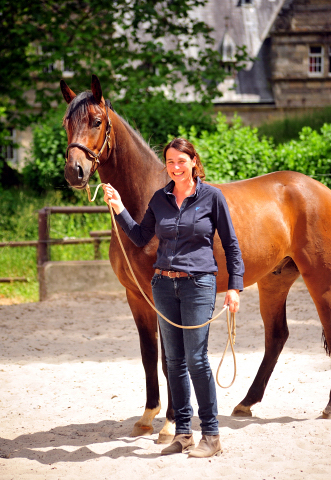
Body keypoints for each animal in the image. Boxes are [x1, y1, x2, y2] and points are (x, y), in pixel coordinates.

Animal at [60, 74, 331, 442]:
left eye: (97, 121)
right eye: (66, 123)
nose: (75, 171)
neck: (147, 203)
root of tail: (318, 189)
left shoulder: (160, 296)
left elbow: (169, 358)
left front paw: (171, 422)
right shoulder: (136, 297)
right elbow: (148, 355)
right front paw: (148, 415)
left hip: (319, 278)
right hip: (275, 281)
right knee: (276, 336)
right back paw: (246, 403)